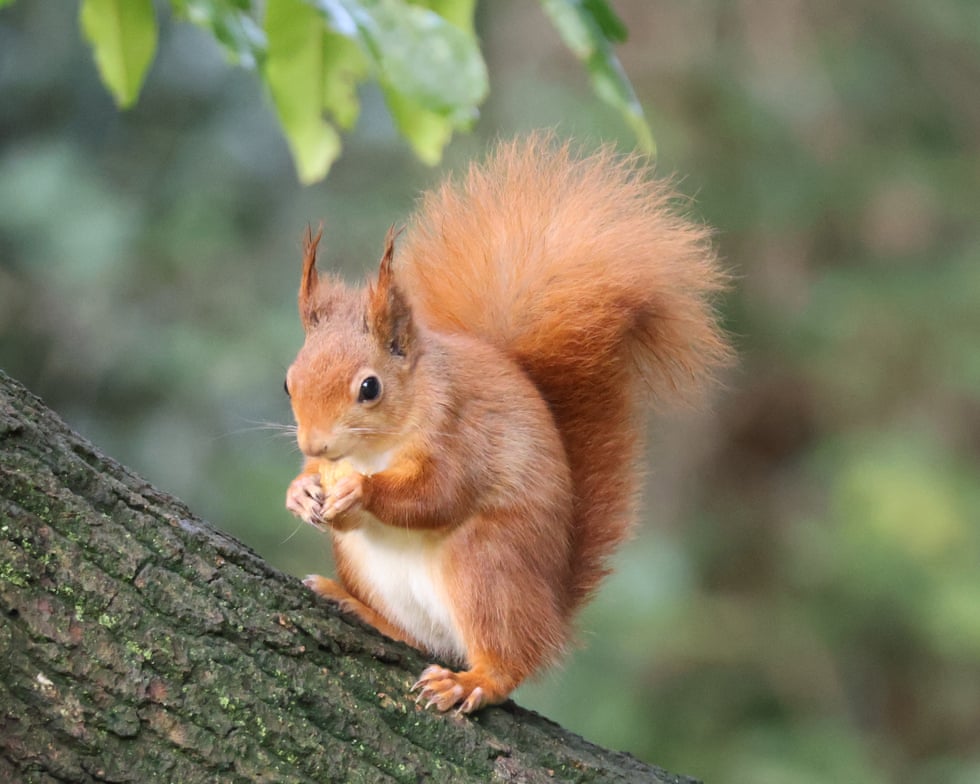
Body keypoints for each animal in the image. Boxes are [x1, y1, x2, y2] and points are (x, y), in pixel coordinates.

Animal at [283, 135, 730, 714]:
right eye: (288, 383)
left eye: (370, 388)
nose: (315, 442)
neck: (373, 449)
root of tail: (551, 613)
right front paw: (300, 492)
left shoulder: (461, 433)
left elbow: (439, 494)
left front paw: (360, 491)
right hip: (370, 567)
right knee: (422, 637)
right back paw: (356, 606)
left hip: (487, 567)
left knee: (510, 660)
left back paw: (472, 681)